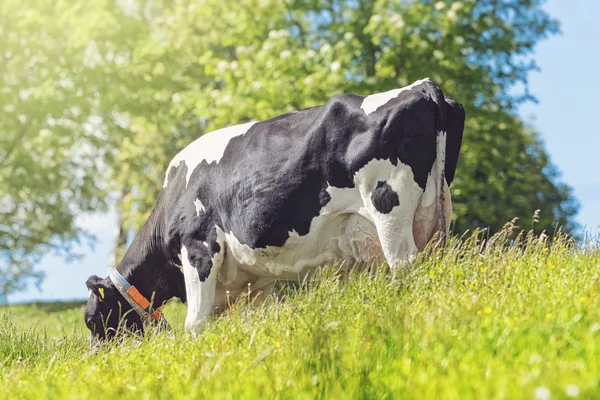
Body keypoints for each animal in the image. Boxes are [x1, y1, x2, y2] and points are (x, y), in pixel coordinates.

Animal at [84, 78, 466, 340]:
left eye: (92, 320)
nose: (97, 357)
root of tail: (423, 86)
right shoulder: (253, 280)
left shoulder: (199, 248)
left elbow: (195, 323)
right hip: (437, 218)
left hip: (389, 207)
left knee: (405, 267)